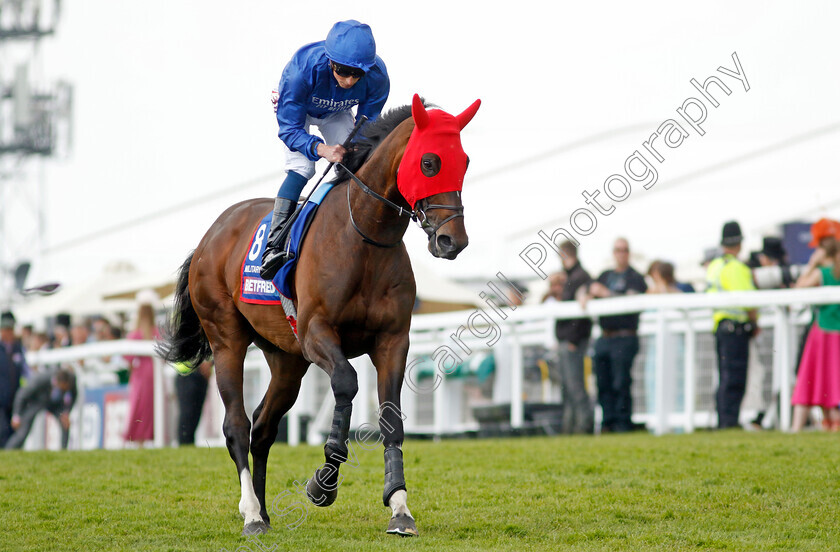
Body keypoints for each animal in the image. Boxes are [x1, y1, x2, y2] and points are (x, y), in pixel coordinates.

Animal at [159, 94, 480, 536]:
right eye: (429, 162)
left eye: (463, 161)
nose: (453, 241)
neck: (365, 239)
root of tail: (211, 235)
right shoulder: (316, 333)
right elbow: (346, 381)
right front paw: (323, 482)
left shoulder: (393, 340)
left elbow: (391, 417)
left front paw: (399, 507)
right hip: (227, 339)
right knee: (237, 425)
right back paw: (251, 513)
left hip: (286, 359)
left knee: (263, 426)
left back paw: (264, 510)